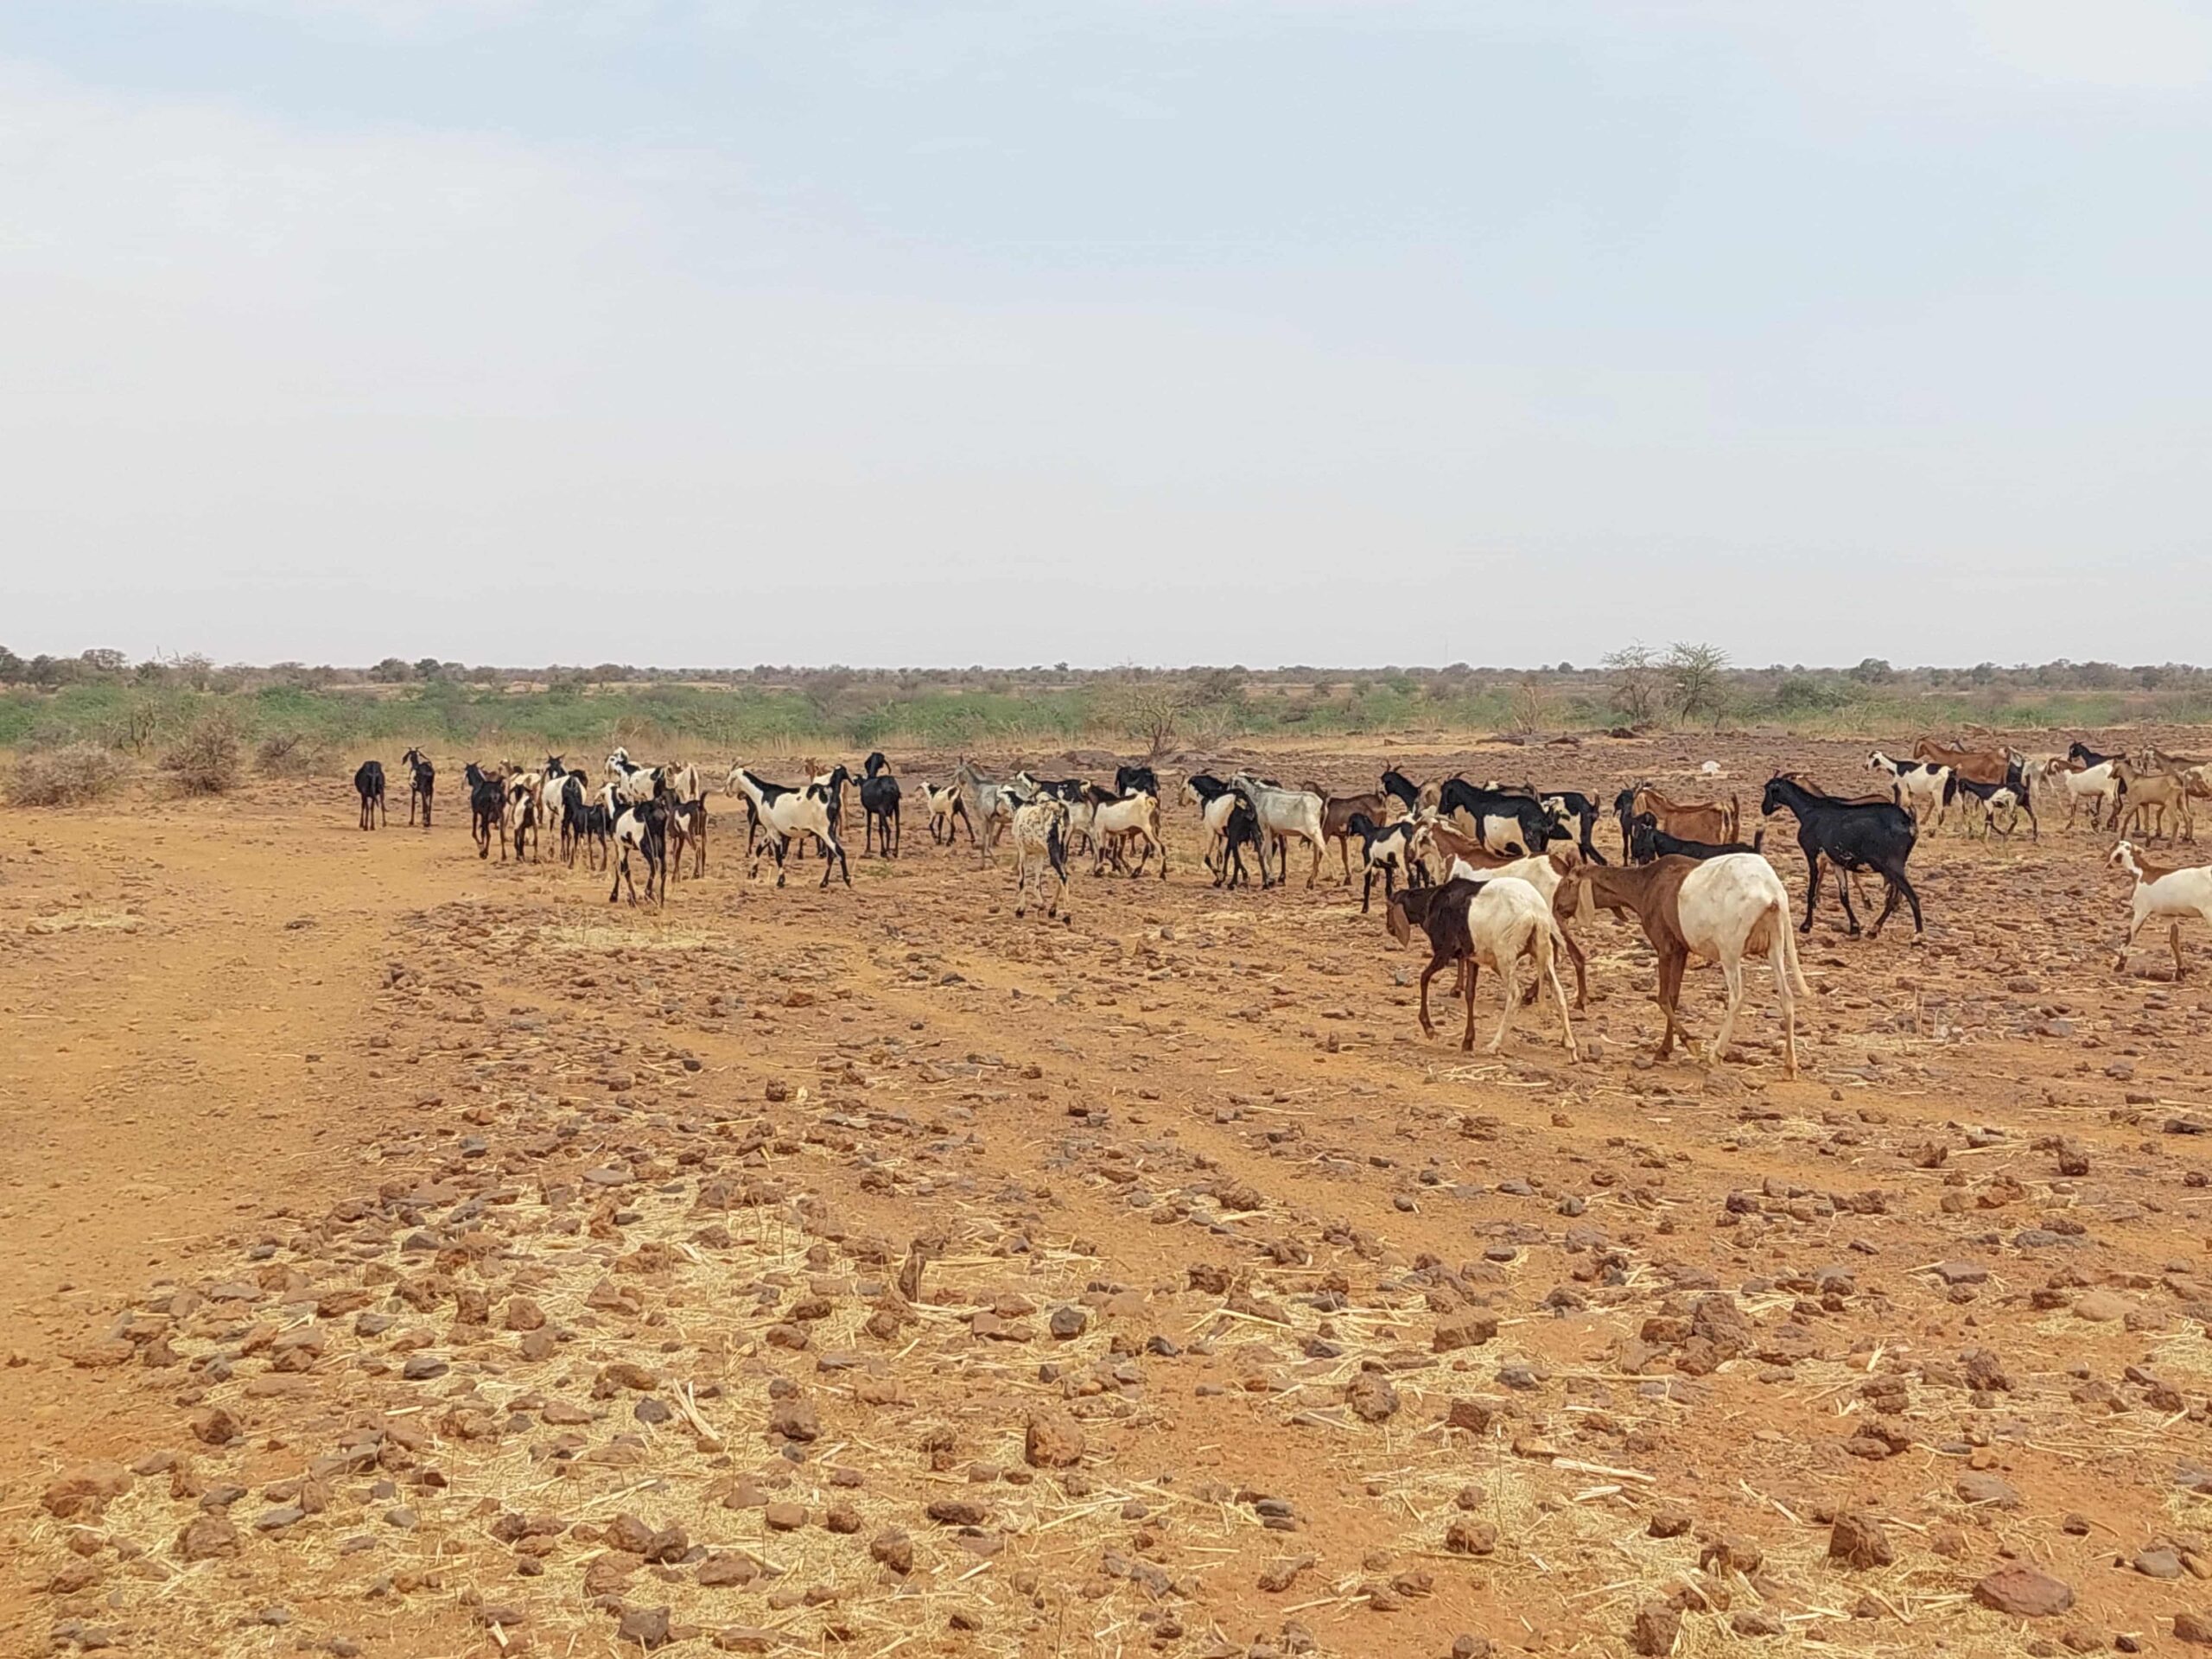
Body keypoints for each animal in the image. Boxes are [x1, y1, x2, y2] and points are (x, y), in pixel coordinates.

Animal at [1013, 800, 1071, 925]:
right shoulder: (1039, 853)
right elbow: (1037, 882)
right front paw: (1041, 904)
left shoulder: (1022, 851)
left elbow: (1021, 880)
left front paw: (1020, 910)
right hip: (1063, 852)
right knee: (1062, 877)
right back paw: (1052, 910)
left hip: (1053, 851)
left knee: (1063, 876)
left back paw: (1067, 915)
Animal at [1557, 858, 1796, 1079]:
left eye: (1569, 881)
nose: (1556, 906)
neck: (1645, 885)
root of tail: (1772, 893)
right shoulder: (1681, 949)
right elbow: (1673, 997)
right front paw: (1665, 1049)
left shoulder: (1664, 947)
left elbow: (1662, 998)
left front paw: (1689, 1042)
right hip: (1775, 943)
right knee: (1786, 995)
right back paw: (1790, 1066)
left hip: (1730, 950)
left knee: (1737, 997)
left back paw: (1715, 1054)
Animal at [1760, 779, 1920, 942]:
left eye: (1768, 789)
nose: (1764, 809)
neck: (1810, 811)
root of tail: (1908, 822)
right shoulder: (1836, 863)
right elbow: (1844, 897)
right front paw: (1855, 928)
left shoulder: (1812, 855)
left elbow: (1811, 890)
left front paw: (1806, 925)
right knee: (1895, 897)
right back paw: (1874, 929)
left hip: (1893, 866)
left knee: (1911, 896)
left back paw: (1917, 936)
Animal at [2106, 836, 2212, 982]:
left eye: (2113, 846)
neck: (2141, 873)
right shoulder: (2169, 915)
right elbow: (2174, 940)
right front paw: (2180, 971)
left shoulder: (2141, 909)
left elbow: (2131, 934)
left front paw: (2120, 965)